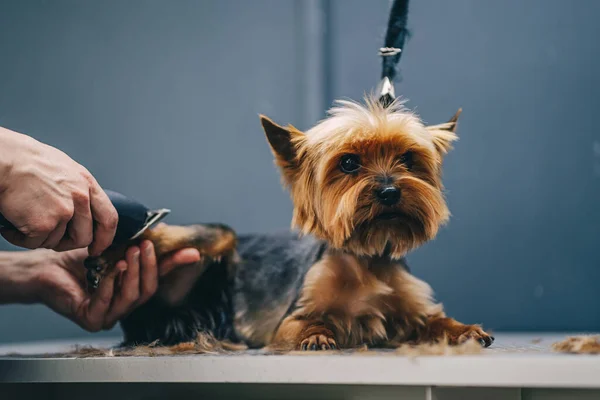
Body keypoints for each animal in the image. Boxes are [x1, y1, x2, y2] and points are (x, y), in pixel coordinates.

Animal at [85, 96, 496, 350]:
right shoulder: (288, 320)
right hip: (217, 236)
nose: (390, 191)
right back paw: (104, 259)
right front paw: (318, 335)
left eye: (409, 159)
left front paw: (464, 330)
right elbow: (310, 323)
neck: (367, 257)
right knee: (154, 235)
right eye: (349, 163)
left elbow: (434, 321)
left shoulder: (411, 312)